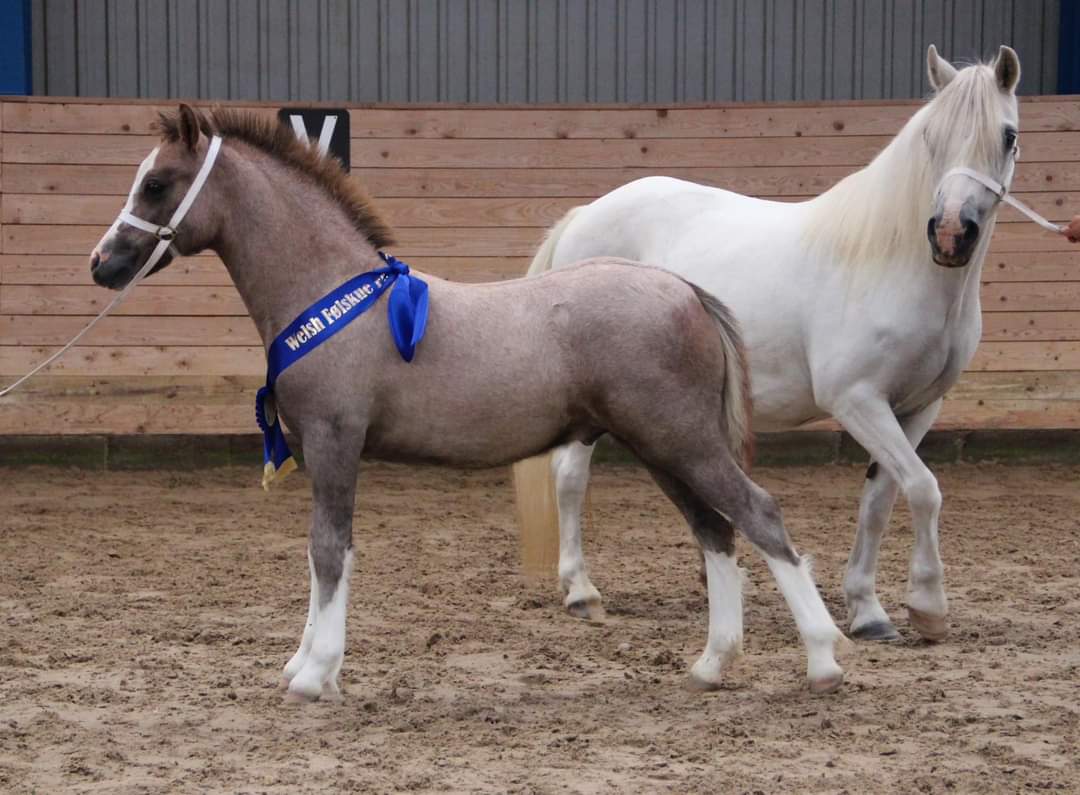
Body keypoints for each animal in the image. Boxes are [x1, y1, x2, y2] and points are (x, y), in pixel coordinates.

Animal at [87, 105, 847, 701]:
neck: (331, 293)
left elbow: (330, 549)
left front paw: (315, 673)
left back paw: (824, 659)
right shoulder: (320, 449)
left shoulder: (335, 441)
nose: (102, 264)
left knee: (758, 513)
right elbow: (318, 553)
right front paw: (305, 663)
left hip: (681, 441)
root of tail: (684, 288)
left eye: (156, 183)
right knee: (714, 529)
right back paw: (712, 664)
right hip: (663, 448)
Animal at [515, 45, 1023, 644]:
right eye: (931, 136)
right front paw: (928, 605)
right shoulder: (857, 400)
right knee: (570, 479)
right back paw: (581, 591)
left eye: (1008, 135)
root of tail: (583, 217)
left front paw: (869, 611)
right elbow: (924, 488)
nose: (950, 233)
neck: (890, 261)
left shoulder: (919, 407)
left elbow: (881, 499)